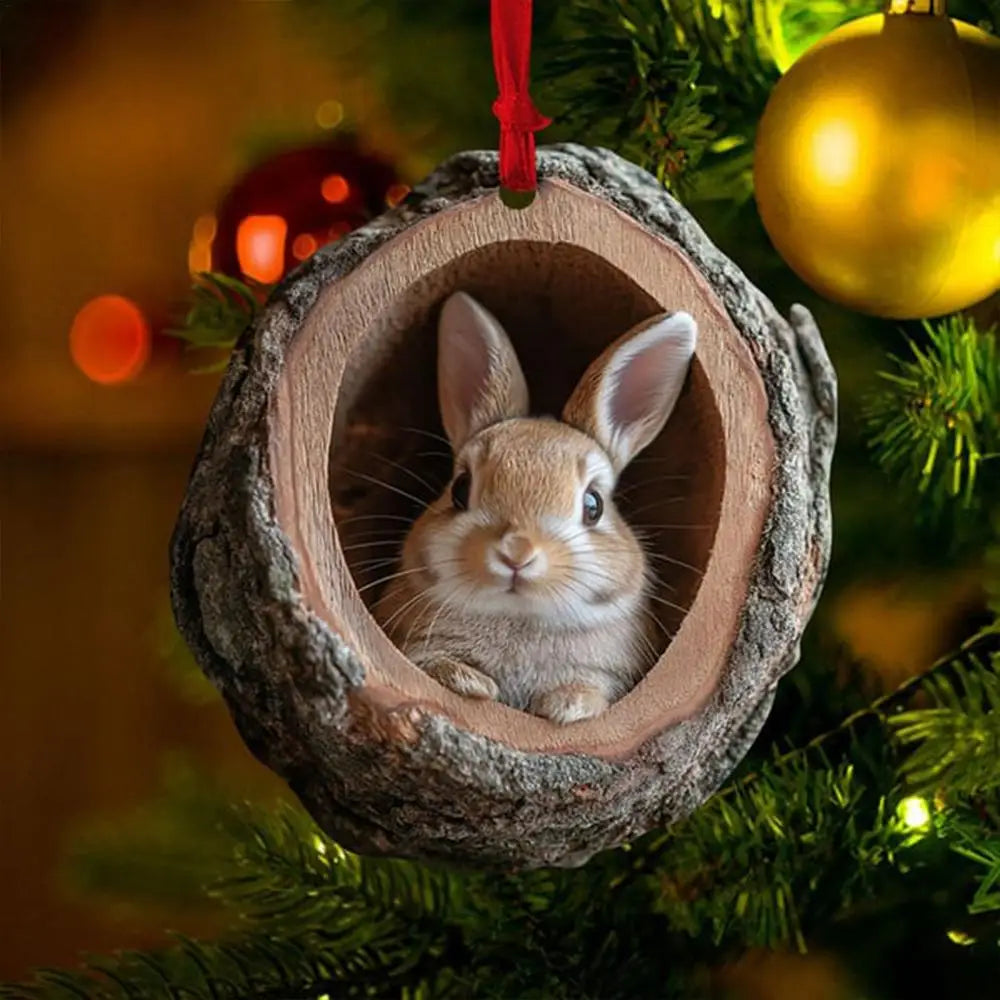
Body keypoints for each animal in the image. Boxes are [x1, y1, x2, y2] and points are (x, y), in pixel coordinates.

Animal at [376, 291, 697, 725]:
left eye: (593, 505)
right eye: (460, 489)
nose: (517, 552)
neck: (519, 616)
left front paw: (566, 705)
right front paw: (471, 683)